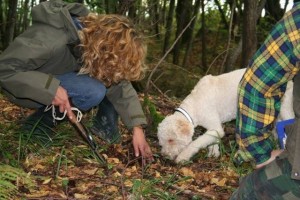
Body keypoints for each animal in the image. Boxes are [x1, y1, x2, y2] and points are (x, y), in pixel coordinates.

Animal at [158, 68, 294, 163]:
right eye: (161, 140)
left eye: (171, 140)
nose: (164, 156)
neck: (195, 103)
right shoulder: (213, 127)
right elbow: (212, 141)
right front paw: (214, 154)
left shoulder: (215, 125)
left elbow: (197, 142)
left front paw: (183, 157)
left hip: (286, 108)